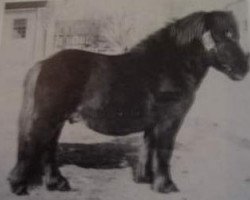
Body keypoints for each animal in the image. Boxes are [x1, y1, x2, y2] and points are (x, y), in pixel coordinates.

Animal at [7, 10, 248, 195]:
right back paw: (19, 186)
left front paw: (145, 179)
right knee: (32, 145)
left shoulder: (153, 124)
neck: (167, 67)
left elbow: (148, 149)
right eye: (225, 35)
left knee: (48, 149)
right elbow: (164, 152)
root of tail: (43, 64)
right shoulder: (169, 122)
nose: (243, 69)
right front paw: (166, 186)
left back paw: (58, 183)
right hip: (48, 118)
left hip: (57, 121)